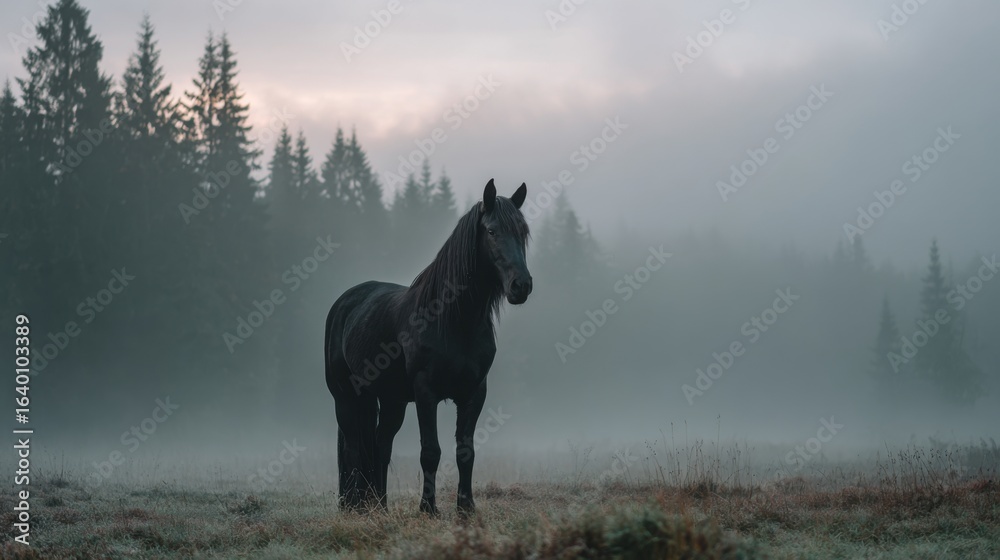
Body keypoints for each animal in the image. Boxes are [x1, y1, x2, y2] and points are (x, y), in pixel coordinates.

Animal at [324, 179, 532, 516]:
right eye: (491, 231)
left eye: (523, 231)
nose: (521, 286)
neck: (454, 320)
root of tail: (346, 301)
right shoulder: (426, 392)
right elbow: (430, 451)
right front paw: (428, 509)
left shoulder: (475, 392)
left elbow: (465, 451)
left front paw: (466, 508)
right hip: (345, 396)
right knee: (354, 446)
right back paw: (355, 507)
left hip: (391, 400)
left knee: (380, 445)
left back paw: (380, 506)